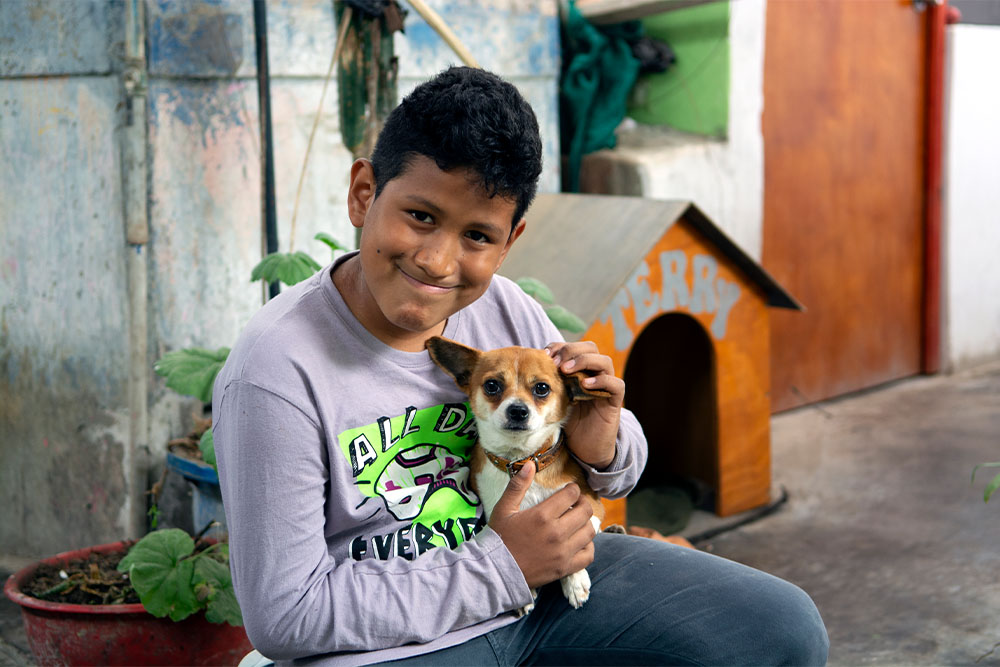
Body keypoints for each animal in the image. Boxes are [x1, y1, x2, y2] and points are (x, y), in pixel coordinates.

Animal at [424, 336, 616, 612]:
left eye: (542, 388)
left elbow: (582, 534)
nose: (517, 410)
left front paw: (574, 579)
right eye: (492, 385)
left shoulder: (591, 505)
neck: (522, 461)